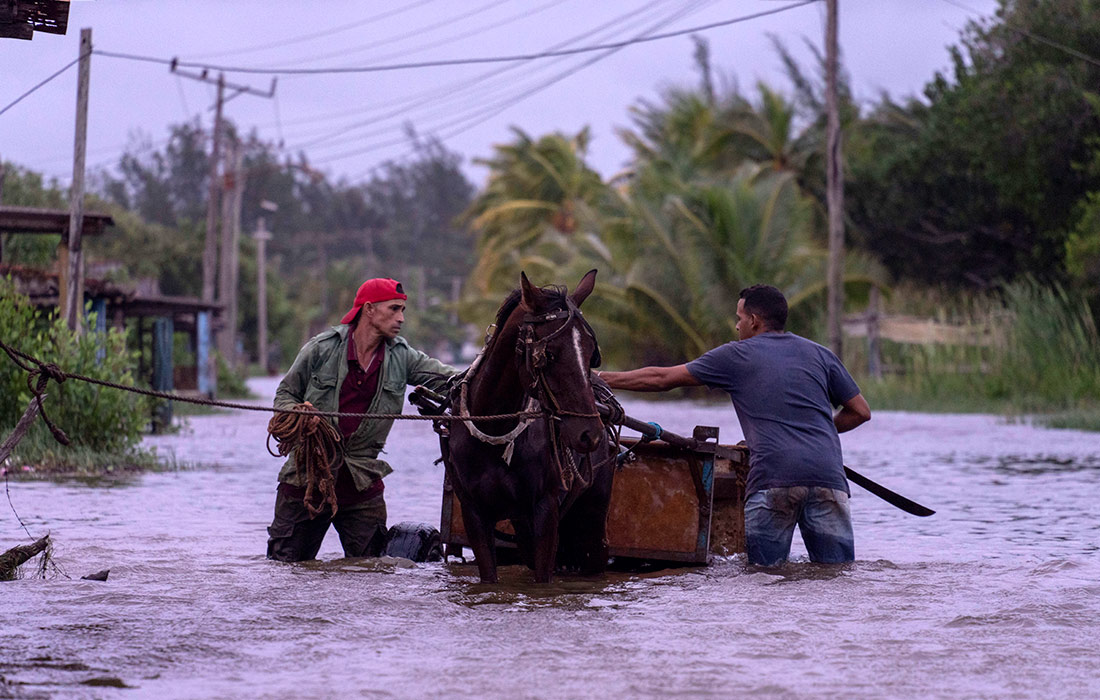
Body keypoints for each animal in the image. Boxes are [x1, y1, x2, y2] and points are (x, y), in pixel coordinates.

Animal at [442, 270, 616, 581]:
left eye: (590, 353)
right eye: (550, 354)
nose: (590, 435)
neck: (496, 428)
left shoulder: (545, 509)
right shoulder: (475, 513)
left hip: (594, 517)